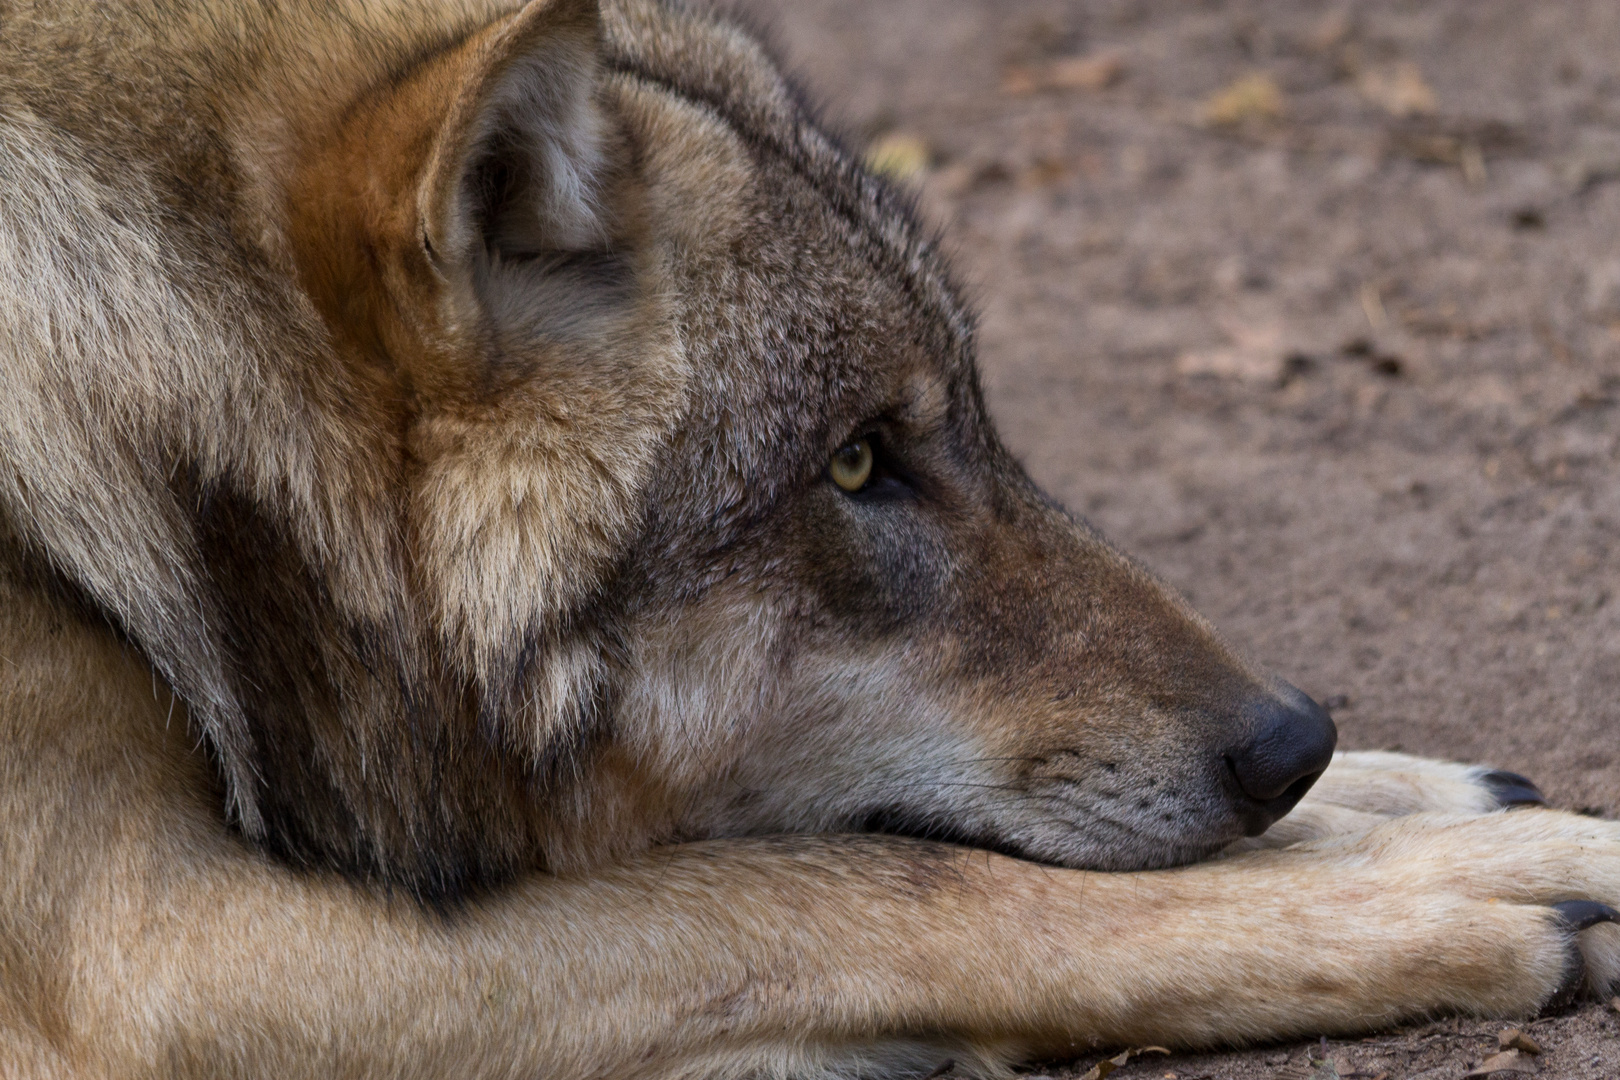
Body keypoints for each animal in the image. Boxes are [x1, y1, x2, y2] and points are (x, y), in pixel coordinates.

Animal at [3, 0, 1620, 1075]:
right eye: (855, 461)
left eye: (970, 421)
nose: (1291, 740)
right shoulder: (157, 957)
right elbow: (869, 889)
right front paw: (1445, 886)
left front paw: (1418, 797)